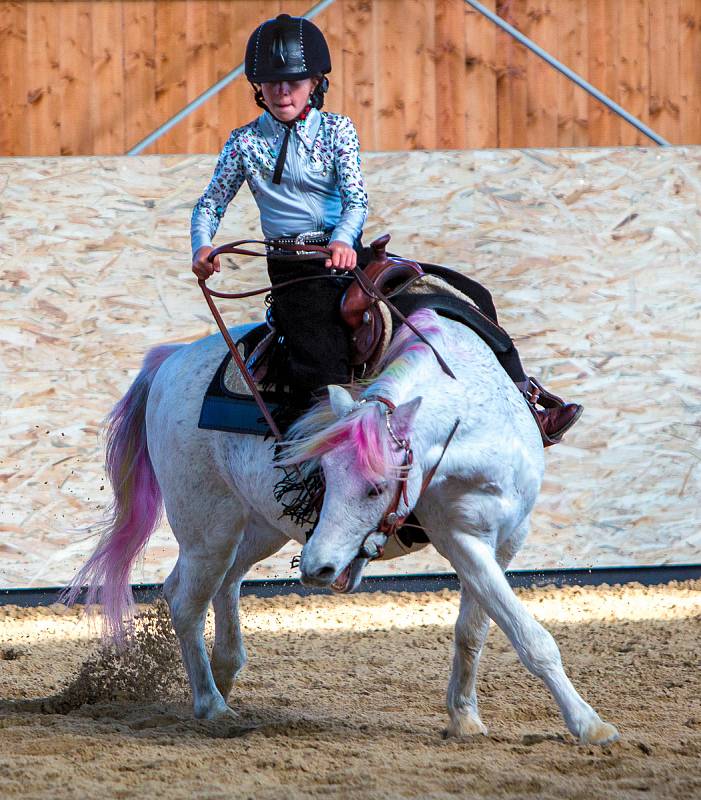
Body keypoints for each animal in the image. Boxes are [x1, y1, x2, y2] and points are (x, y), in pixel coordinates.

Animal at [63, 310, 616, 748]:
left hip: (257, 529)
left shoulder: (507, 540)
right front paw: (590, 725)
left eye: (376, 488)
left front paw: (463, 717)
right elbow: (529, 636)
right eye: (324, 475)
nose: (318, 568)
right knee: (186, 601)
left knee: (216, 584)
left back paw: (224, 672)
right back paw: (212, 704)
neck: (477, 431)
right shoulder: (459, 540)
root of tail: (170, 361)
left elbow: (474, 630)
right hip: (209, 530)